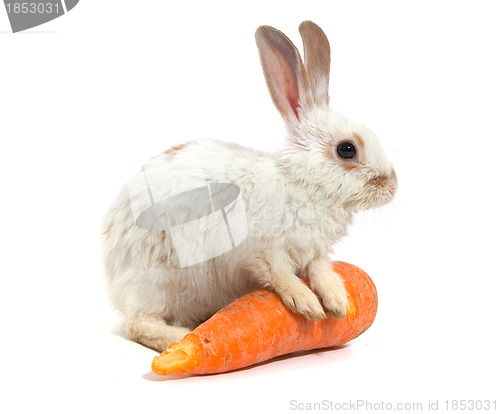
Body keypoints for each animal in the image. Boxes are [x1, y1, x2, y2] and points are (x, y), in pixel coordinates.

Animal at [102, 21, 398, 352]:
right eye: (347, 149)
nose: (393, 185)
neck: (302, 184)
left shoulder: (315, 252)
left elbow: (322, 272)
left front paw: (337, 303)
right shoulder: (262, 250)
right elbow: (280, 275)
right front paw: (307, 304)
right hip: (158, 280)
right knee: (139, 324)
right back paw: (182, 338)